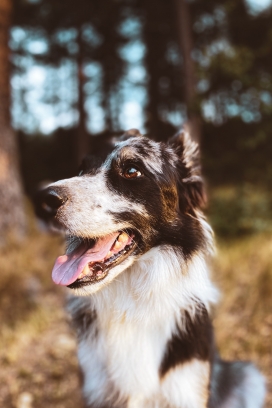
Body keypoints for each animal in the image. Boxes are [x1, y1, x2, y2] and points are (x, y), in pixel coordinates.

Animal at [34, 129, 266, 406]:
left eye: (132, 171)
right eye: (82, 169)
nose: (43, 201)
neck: (131, 302)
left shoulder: (187, 388)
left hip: (248, 376)